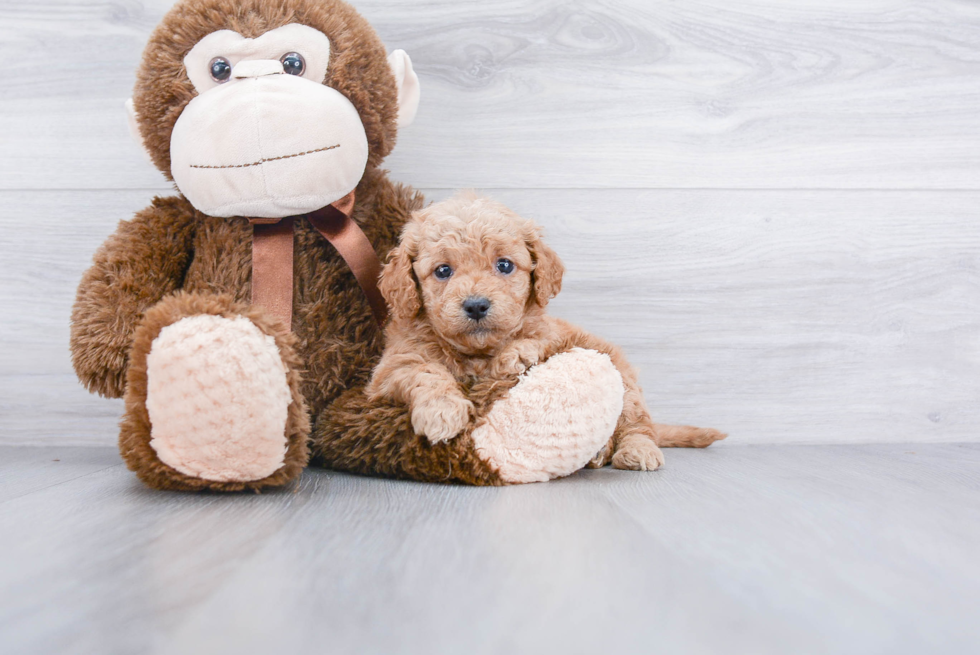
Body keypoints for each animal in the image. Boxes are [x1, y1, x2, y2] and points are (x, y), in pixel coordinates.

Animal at [364, 190, 724, 472]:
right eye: (442, 271)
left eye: (504, 265)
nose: (476, 305)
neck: (478, 353)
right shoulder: (391, 368)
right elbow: (425, 371)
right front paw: (442, 411)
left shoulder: (554, 336)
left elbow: (535, 338)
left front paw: (515, 355)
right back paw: (600, 453)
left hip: (625, 382)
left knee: (637, 425)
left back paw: (637, 450)